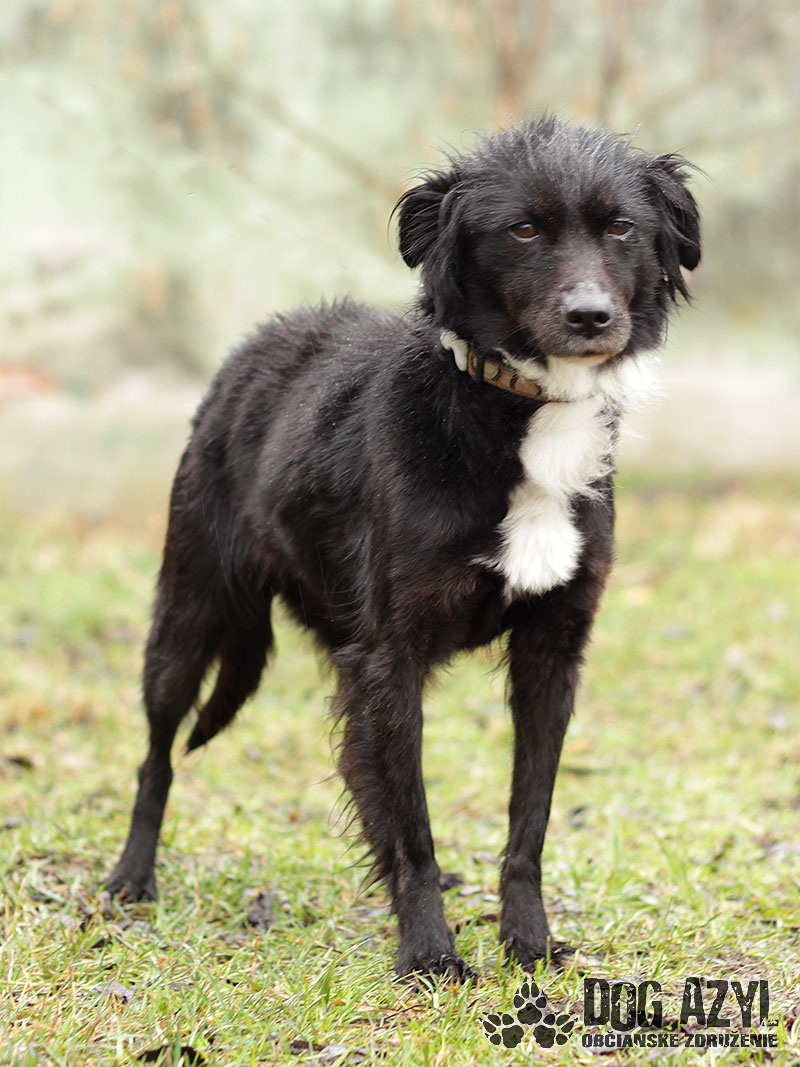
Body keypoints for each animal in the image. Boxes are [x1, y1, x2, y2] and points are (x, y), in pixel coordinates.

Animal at [106, 117, 700, 980]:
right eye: (524, 229)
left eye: (621, 226)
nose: (590, 316)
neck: (514, 410)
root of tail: (263, 338)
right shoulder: (390, 657)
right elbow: (412, 823)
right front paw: (429, 950)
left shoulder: (550, 652)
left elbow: (527, 818)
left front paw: (528, 940)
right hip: (187, 616)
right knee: (157, 754)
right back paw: (131, 875)